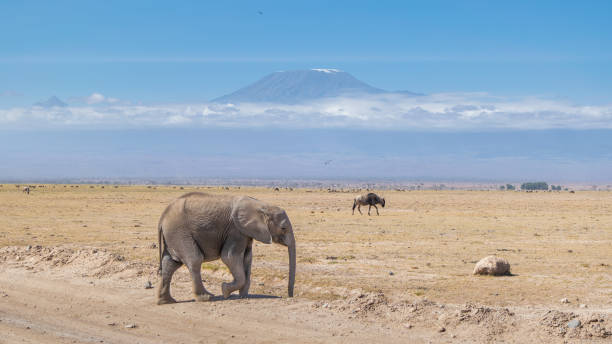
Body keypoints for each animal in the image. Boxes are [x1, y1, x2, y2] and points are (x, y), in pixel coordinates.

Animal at [158, 192, 296, 306]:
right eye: (283, 228)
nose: (290, 296)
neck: (262, 206)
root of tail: (162, 217)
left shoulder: (245, 232)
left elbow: (247, 258)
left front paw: (243, 296)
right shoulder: (235, 231)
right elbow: (229, 257)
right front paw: (225, 290)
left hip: (173, 236)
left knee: (170, 264)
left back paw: (166, 301)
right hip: (179, 232)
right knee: (195, 260)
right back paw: (207, 298)